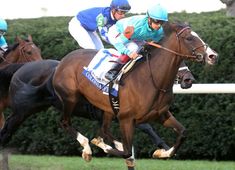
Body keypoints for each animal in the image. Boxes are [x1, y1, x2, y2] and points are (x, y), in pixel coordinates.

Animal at [50, 22, 218, 169]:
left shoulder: (161, 114)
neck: (151, 79)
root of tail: (62, 61)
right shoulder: (126, 119)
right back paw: (87, 149)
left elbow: (183, 133)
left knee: (104, 130)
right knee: (65, 122)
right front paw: (103, 146)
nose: (212, 56)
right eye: (189, 38)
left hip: (107, 108)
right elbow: (126, 152)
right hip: (70, 99)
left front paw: (161, 152)